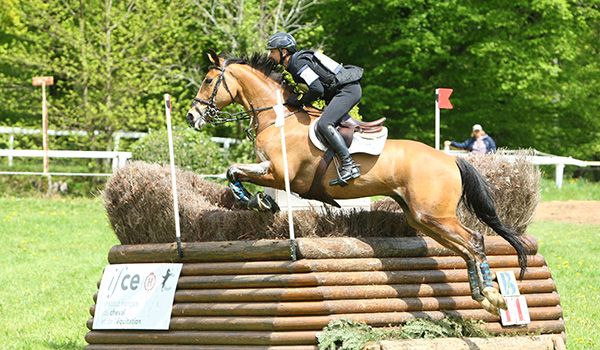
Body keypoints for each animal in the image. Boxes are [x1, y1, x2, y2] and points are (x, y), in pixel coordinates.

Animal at [186, 50, 528, 318]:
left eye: (208, 80)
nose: (191, 116)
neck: (278, 118)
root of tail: (450, 160)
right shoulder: (271, 172)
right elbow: (234, 171)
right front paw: (261, 202)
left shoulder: (280, 174)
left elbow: (234, 171)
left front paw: (259, 201)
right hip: (421, 218)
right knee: (466, 248)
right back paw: (482, 297)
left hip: (434, 215)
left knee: (475, 241)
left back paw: (492, 295)